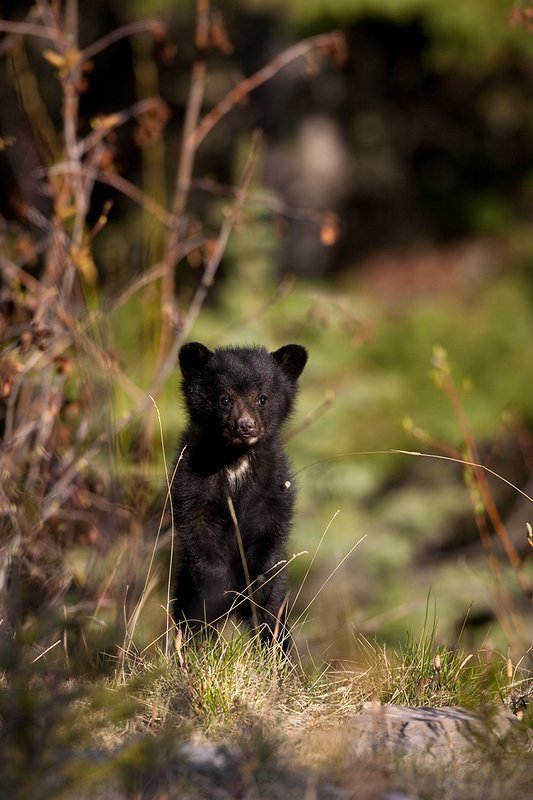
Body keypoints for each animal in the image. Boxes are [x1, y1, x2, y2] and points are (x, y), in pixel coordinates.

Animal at [170, 341, 308, 649]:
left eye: (263, 398)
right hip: (184, 584)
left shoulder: (273, 481)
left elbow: (273, 523)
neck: (235, 459)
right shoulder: (192, 477)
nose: (246, 426)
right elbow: (195, 524)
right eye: (224, 399)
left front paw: (257, 580)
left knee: (273, 619)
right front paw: (219, 587)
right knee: (190, 617)